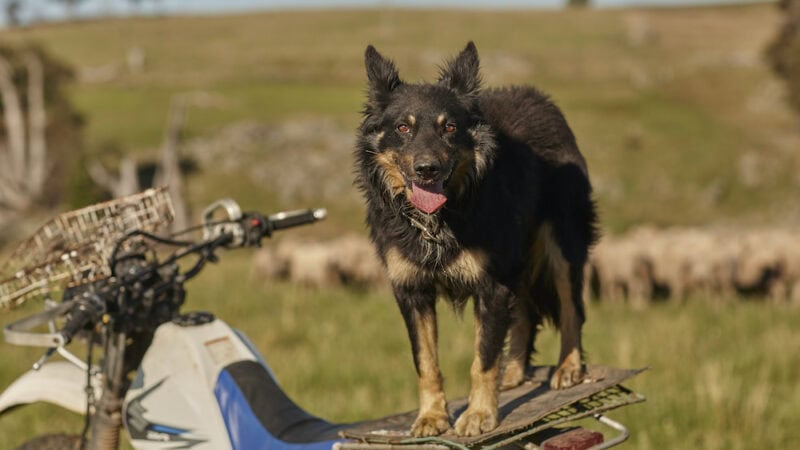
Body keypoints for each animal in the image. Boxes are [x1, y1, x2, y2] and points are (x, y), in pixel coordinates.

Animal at [354, 42, 596, 436]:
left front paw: (480, 414)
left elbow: (482, 359)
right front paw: (431, 417)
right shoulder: (412, 291)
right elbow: (426, 362)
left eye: (449, 127)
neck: (438, 218)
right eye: (403, 127)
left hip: (561, 241)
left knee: (571, 306)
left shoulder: (491, 285)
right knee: (524, 313)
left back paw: (568, 368)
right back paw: (512, 373)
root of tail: (540, 99)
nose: (427, 169)